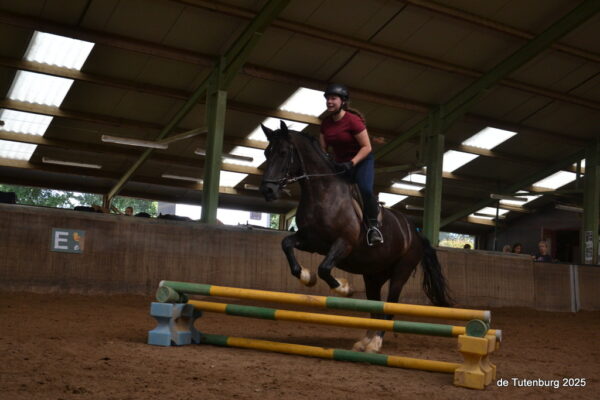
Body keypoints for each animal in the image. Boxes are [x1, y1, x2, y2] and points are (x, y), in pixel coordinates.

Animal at [259, 121, 452, 353]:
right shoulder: (312, 241)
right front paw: (307, 276)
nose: (267, 190)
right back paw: (365, 341)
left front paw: (345, 288)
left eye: (283, 152)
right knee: (376, 308)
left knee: (389, 308)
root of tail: (415, 234)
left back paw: (375, 343)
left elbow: (324, 269)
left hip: (400, 272)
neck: (322, 193)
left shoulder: (344, 244)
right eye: (266, 153)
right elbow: (287, 245)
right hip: (373, 276)